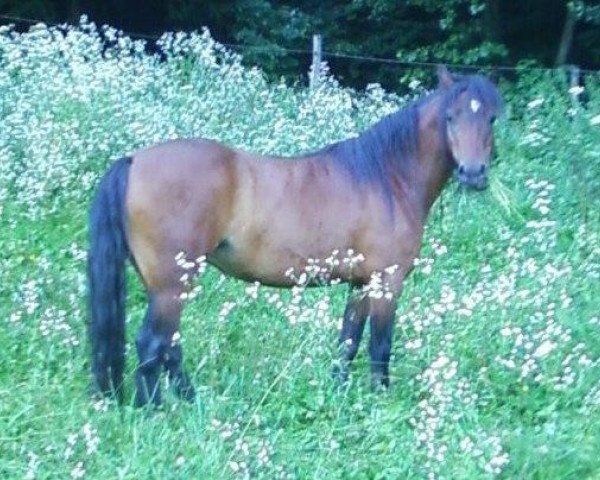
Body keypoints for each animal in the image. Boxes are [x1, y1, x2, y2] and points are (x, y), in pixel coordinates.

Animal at [88, 65, 502, 406]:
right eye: (450, 116)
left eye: (492, 118)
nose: (473, 173)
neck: (386, 176)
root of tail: (134, 161)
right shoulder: (387, 282)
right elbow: (379, 345)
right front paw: (380, 402)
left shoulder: (361, 284)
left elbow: (348, 342)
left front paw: (337, 395)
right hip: (172, 285)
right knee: (152, 344)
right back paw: (154, 409)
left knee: (169, 346)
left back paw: (193, 403)